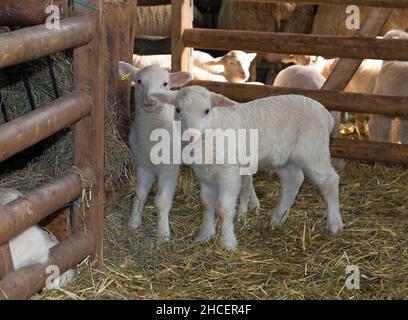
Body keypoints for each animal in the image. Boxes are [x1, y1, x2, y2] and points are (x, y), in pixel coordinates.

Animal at [153, 87, 344, 250]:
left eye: (207, 110)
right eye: (178, 110)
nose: (190, 136)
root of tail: (326, 113)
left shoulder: (229, 174)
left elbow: (223, 207)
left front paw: (228, 242)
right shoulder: (205, 175)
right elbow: (206, 204)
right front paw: (204, 236)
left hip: (313, 151)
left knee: (329, 180)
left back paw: (335, 224)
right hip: (286, 158)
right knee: (293, 180)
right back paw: (278, 219)